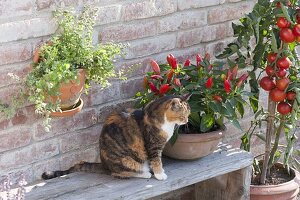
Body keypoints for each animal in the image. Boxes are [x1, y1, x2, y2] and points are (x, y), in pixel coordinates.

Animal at [42, 94, 191, 180]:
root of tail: (105, 165)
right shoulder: (153, 146)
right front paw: (160, 175)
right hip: (126, 160)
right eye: (182, 116)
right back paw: (145, 174)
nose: (187, 121)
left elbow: (155, 161)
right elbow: (156, 160)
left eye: (188, 114)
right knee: (120, 173)